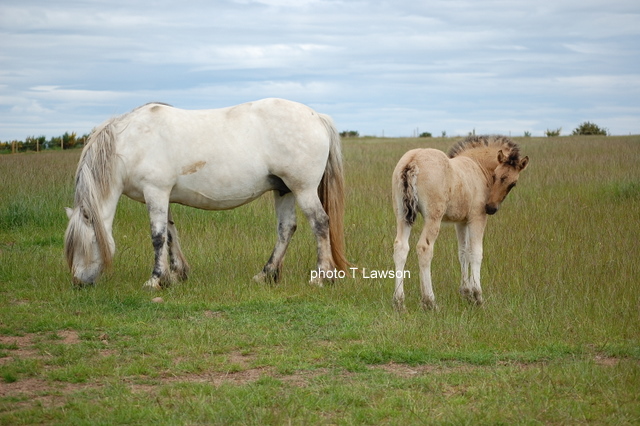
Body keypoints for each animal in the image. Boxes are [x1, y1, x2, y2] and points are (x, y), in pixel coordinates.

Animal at [64, 98, 348, 290]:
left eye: (86, 244)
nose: (79, 282)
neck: (131, 142)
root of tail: (317, 116)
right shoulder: (163, 196)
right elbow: (170, 234)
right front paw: (176, 275)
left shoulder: (155, 192)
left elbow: (157, 237)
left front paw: (155, 280)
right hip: (284, 190)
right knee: (286, 229)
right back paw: (266, 274)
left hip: (303, 189)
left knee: (320, 223)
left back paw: (322, 277)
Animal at [391, 135, 529, 310]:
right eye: (496, 176)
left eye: (513, 183)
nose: (491, 208)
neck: (477, 165)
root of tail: (412, 160)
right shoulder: (477, 218)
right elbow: (476, 252)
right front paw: (477, 296)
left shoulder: (461, 222)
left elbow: (463, 252)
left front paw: (466, 293)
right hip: (433, 218)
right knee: (424, 248)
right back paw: (430, 301)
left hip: (402, 215)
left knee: (401, 247)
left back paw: (399, 301)